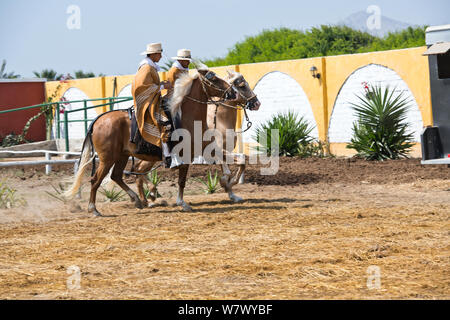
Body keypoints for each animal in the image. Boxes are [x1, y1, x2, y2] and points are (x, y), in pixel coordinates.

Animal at [66, 68, 239, 216]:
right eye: (214, 79)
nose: (232, 92)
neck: (185, 116)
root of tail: (97, 121)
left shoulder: (204, 146)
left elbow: (223, 160)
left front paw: (229, 186)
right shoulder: (186, 154)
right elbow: (182, 180)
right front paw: (182, 203)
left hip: (121, 156)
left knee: (116, 176)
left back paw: (137, 200)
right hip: (107, 158)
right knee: (96, 180)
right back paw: (93, 209)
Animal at [134, 70, 260, 208]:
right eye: (242, 86)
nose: (257, 103)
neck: (219, 122)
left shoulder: (222, 152)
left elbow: (238, 164)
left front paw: (232, 194)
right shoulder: (217, 152)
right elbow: (231, 169)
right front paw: (225, 183)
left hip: (149, 157)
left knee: (139, 171)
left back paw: (147, 199)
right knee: (139, 170)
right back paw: (150, 195)